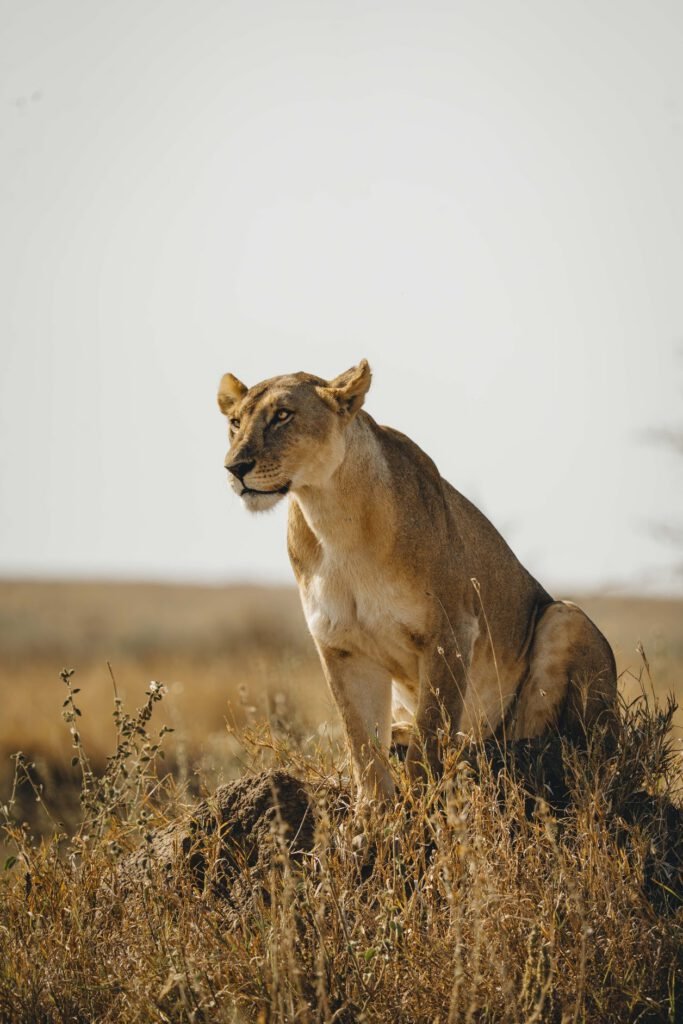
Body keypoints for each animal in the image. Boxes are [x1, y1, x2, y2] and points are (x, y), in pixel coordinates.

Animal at [217, 360, 617, 800]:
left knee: (547, 741)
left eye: (283, 416)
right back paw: (401, 735)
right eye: (235, 422)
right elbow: (361, 743)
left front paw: (422, 803)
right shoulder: (341, 645)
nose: (234, 468)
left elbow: (430, 733)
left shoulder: (451, 631)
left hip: (566, 618)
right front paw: (373, 811)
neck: (332, 515)